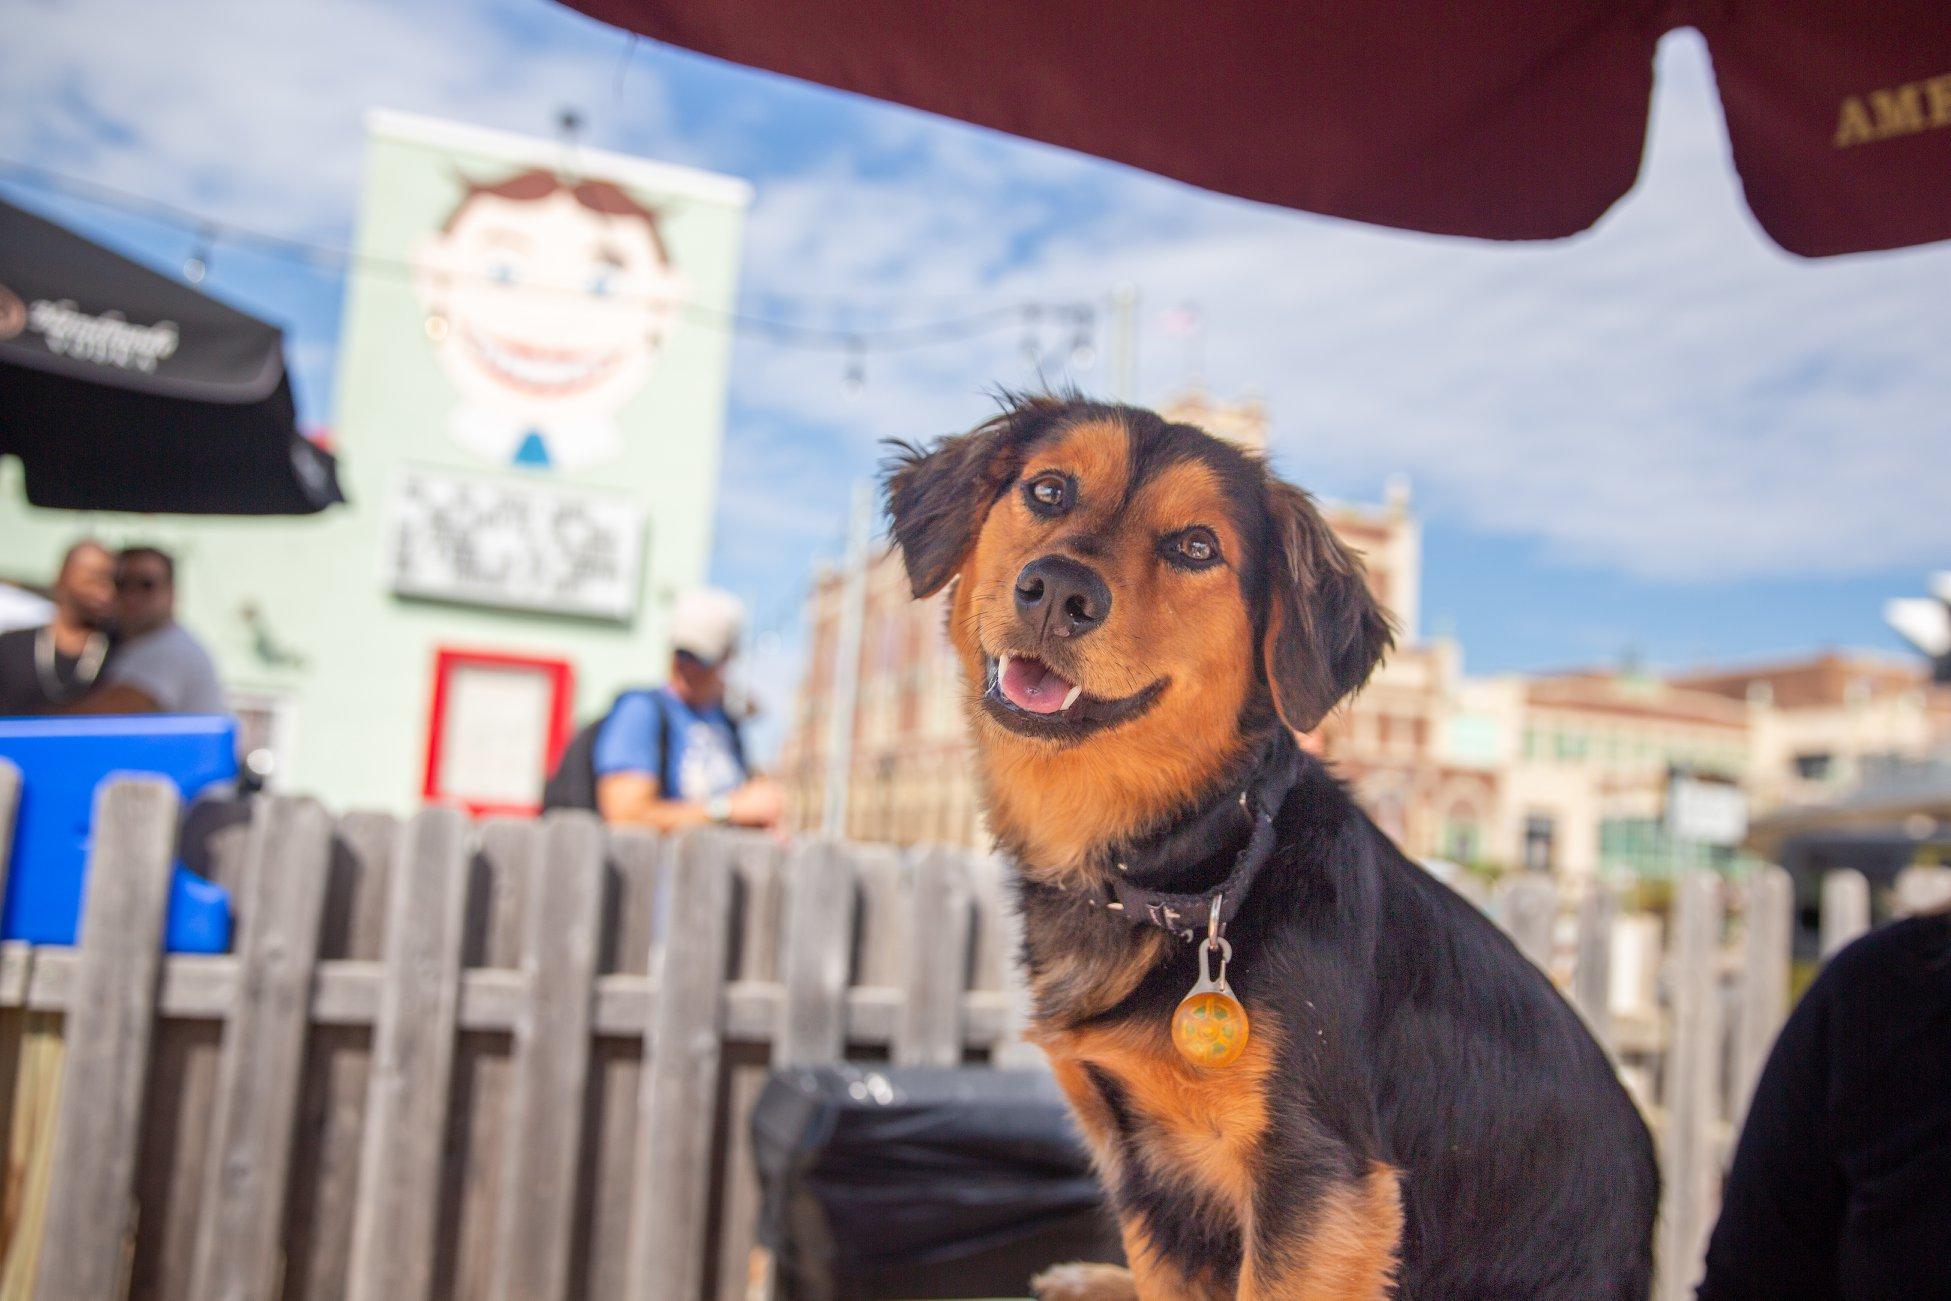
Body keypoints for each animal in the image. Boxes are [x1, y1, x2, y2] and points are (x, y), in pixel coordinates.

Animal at [885, 399, 1662, 1301]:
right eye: (1047, 490)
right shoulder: (1148, 1176)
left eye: (1196, 546)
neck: (1199, 865)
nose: (1058, 591)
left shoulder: (1319, 1183)